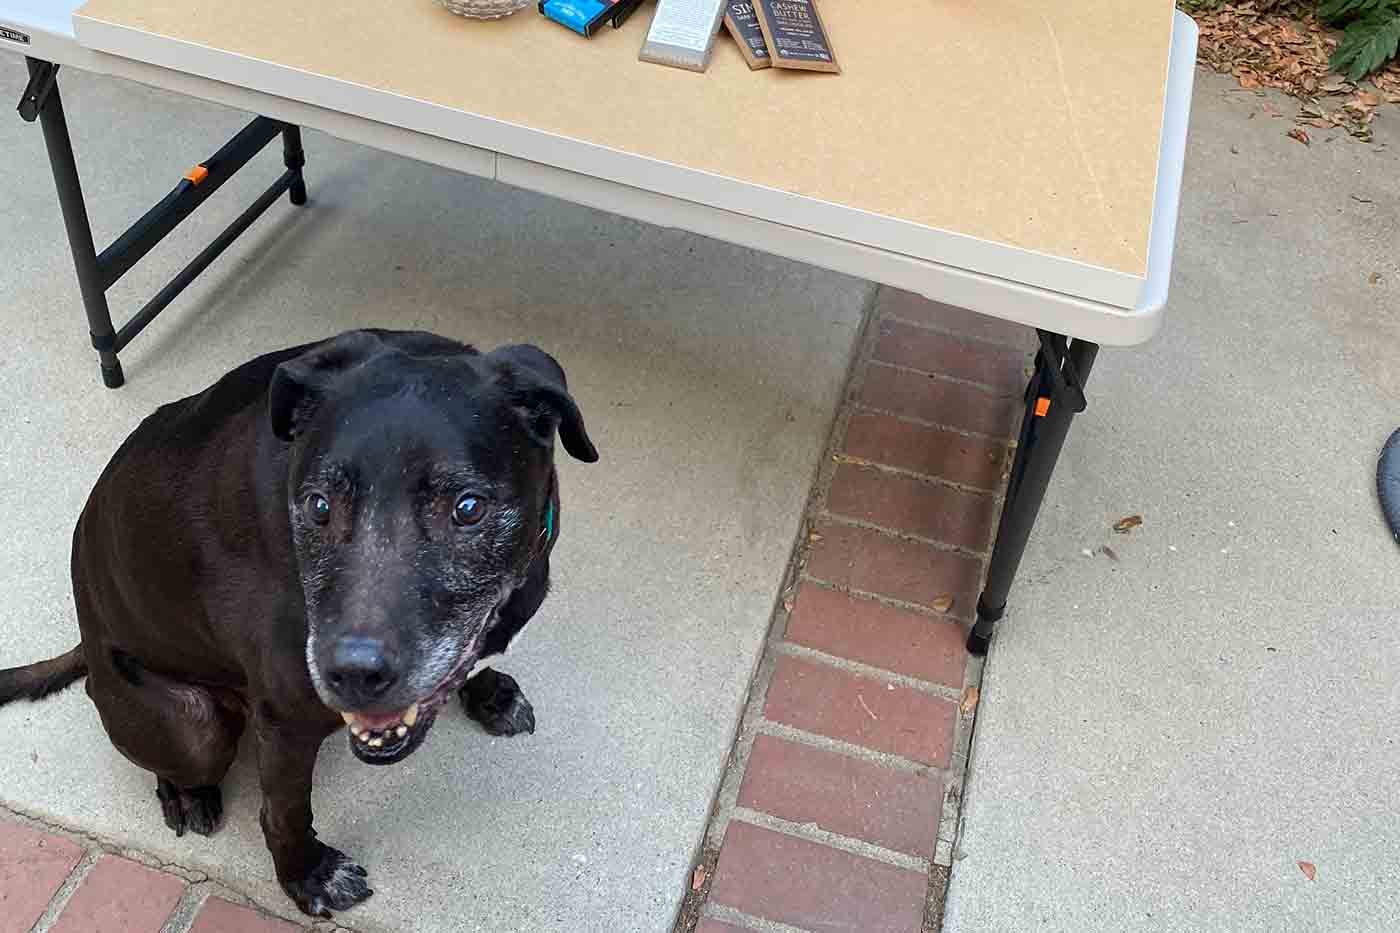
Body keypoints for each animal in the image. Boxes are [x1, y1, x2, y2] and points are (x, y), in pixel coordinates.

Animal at [0, 329, 596, 913]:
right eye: (318, 506)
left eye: (468, 508)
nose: (353, 674)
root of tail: (87, 639)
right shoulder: (286, 720)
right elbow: (284, 812)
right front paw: (307, 875)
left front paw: (487, 689)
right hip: (192, 724)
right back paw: (185, 794)